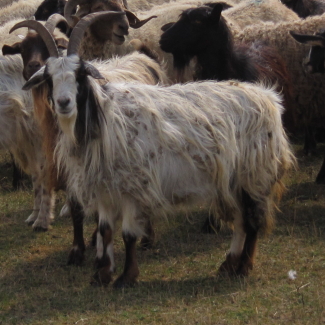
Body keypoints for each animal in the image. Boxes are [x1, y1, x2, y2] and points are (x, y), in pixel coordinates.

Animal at [24, 15, 294, 284]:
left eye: (79, 74)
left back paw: (244, 266)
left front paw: (126, 277)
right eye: (49, 78)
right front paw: (103, 274)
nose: (64, 103)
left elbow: (128, 235)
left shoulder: (133, 187)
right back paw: (228, 264)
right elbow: (105, 230)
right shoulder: (104, 189)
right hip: (233, 180)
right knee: (240, 221)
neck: (104, 120)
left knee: (252, 221)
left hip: (254, 175)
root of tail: (269, 99)